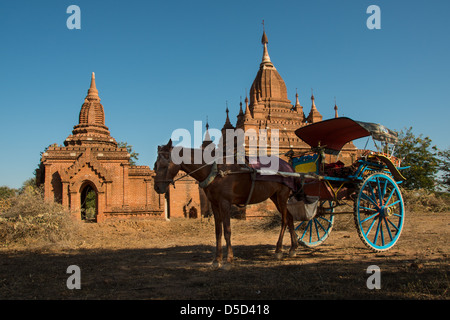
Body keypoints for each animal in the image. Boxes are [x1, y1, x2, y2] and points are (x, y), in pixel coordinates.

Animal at [153, 139, 298, 268]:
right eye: (155, 165)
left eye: (165, 165)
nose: (157, 188)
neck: (215, 170)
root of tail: (289, 167)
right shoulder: (215, 204)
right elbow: (218, 232)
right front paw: (217, 260)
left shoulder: (225, 203)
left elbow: (227, 231)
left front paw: (229, 260)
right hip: (274, 196)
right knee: (290, 218)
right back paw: (293, 248)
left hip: (282, 195)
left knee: (285, 220)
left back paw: (279, 250)